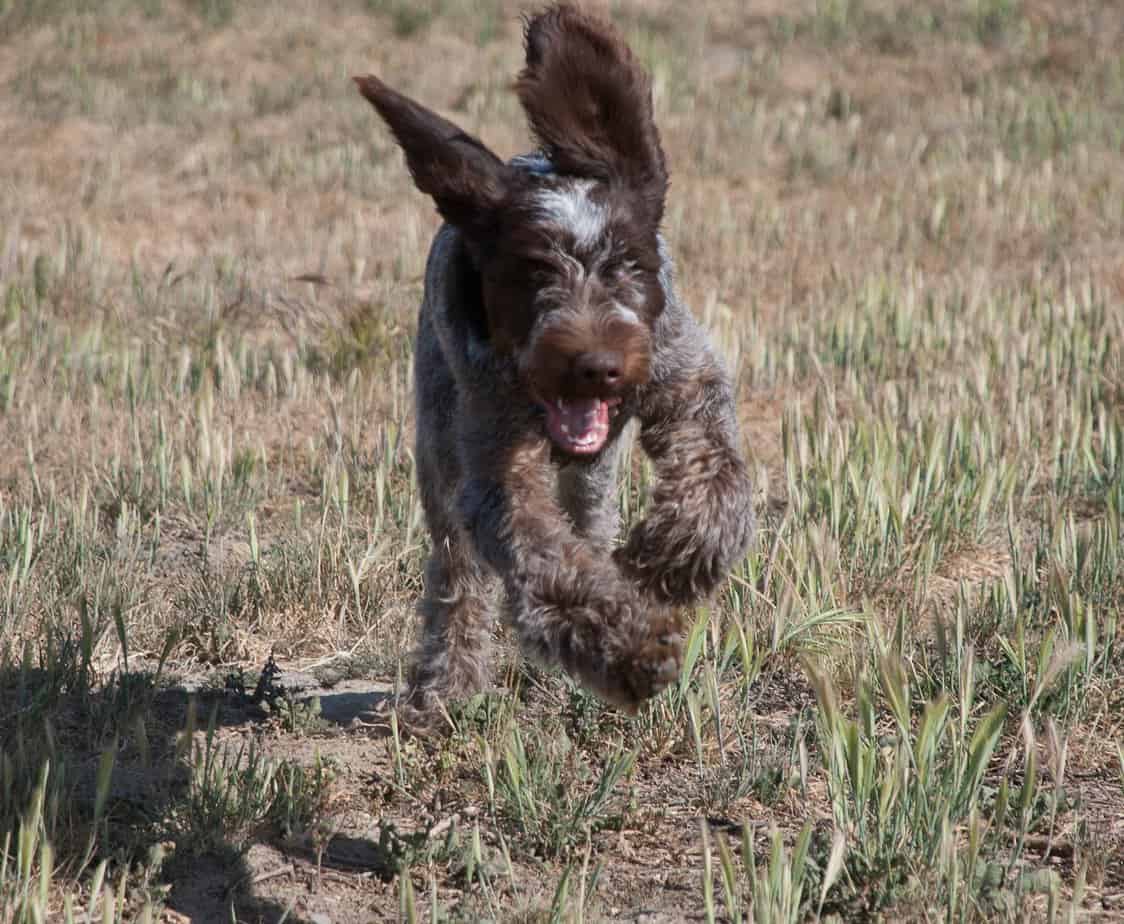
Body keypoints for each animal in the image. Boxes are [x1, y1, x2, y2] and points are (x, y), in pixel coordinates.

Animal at [350, 1, 755, 723]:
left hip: (593, 472)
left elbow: (716, 477)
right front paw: (623, 648)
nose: (595, 366)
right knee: (455, 572)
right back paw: (446, 683)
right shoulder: (494, 464)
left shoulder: (684, 375)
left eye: (629, 265)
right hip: (440, 442)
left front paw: (670, 559)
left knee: (588, 527)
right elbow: (538, 555)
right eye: (533, 272)